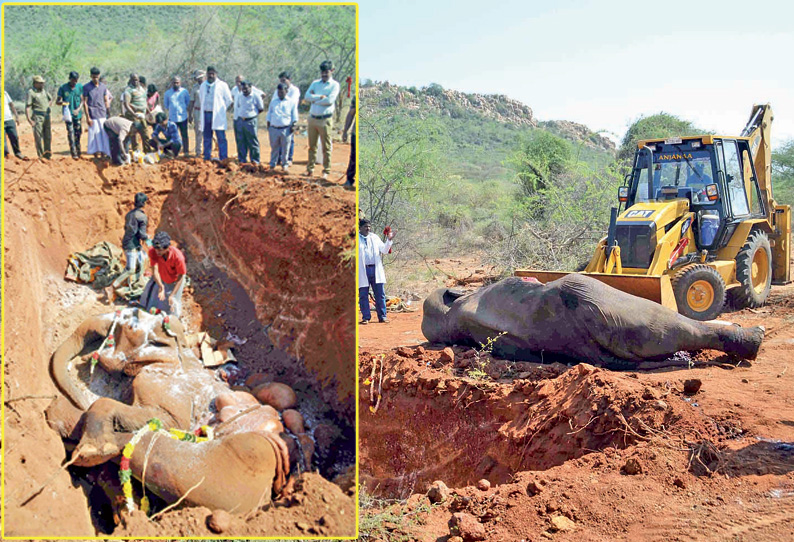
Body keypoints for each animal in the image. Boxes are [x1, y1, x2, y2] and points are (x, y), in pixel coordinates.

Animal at [44, 310, 290, 516]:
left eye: (130, 326)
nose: (86, 359)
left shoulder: (166, 394)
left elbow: (159, 420)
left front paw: (92, 448)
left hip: (242, 467)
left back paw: (78, 438)